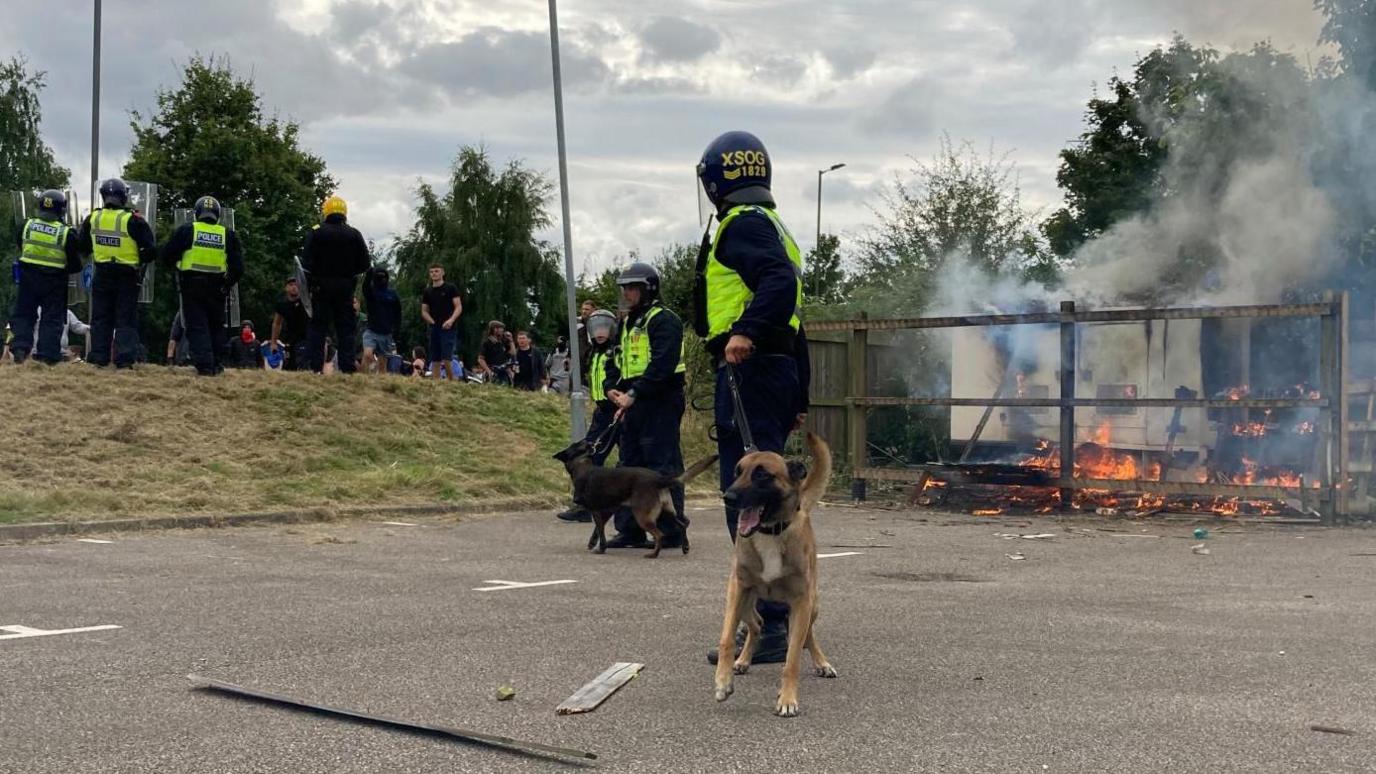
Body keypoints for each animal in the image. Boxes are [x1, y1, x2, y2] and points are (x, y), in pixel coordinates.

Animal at [553, 437, 721, 556]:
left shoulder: (596, 511)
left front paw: (601, 549)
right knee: (682, 525)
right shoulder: (607, 511)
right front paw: (593, 543)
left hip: (642, 516)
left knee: (660, 534)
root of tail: (658, 478)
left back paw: (653, 554)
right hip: (667, 511)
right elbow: (597, 530)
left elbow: (600, 531)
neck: (582, 464)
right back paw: (684, 547)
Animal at [715, 429, 831, 716]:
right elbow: (726, 639)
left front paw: (787, 699)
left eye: (761, 475)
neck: (770, 532)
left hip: (811, 606)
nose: (728, 497)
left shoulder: (801, 602)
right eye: (737, 471)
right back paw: (743, 660)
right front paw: (723, 682)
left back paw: (822, 663)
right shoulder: (737, 589)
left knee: (807, 636)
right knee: (757, 624)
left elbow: (792, 659)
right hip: (745, 603)